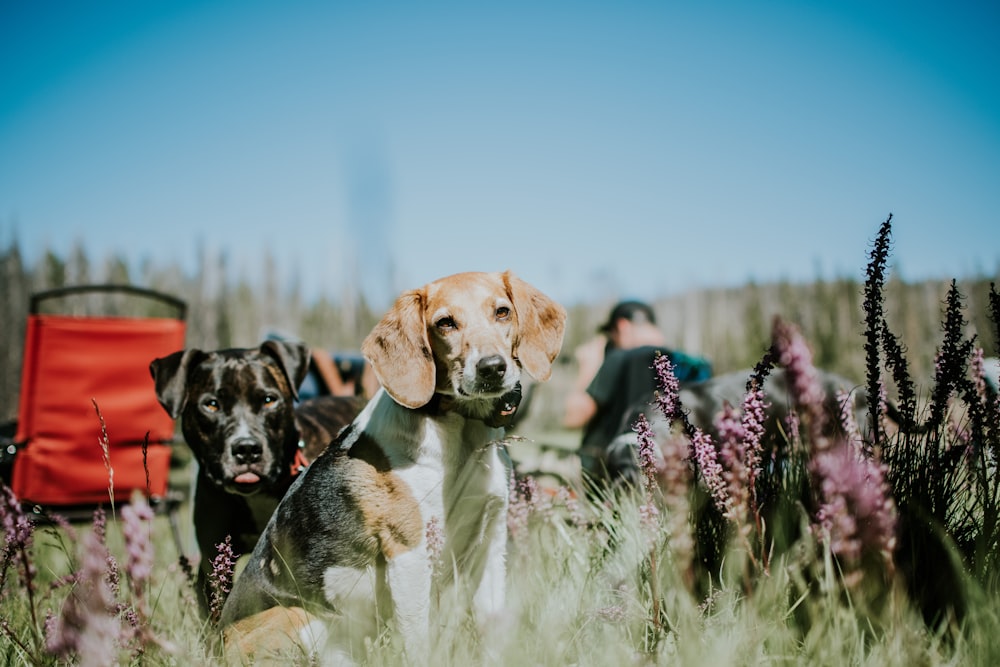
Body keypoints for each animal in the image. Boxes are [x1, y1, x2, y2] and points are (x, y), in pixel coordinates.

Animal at [221, 270, 564, 664]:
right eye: (445, 323)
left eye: (502, 312)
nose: (492, 368)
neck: (462, 431)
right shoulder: (410, 554)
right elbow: (419, 640)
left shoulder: (491, 541)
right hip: (300, 618)